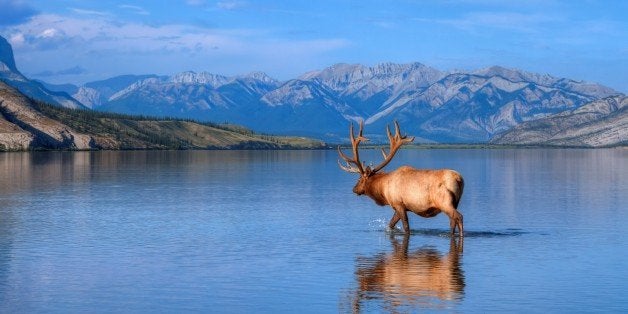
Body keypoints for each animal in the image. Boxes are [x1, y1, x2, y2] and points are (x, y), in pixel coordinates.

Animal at [338, 121, 466, 237]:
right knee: (452, 221)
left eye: (360, 178)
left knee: (458, 216)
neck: (383, 189)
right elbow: (391, 224)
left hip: (444, 202)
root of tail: (459, 179)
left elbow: (406, 227)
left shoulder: (398, 203)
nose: (354, 189)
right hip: (456, 202)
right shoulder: (400, 207)